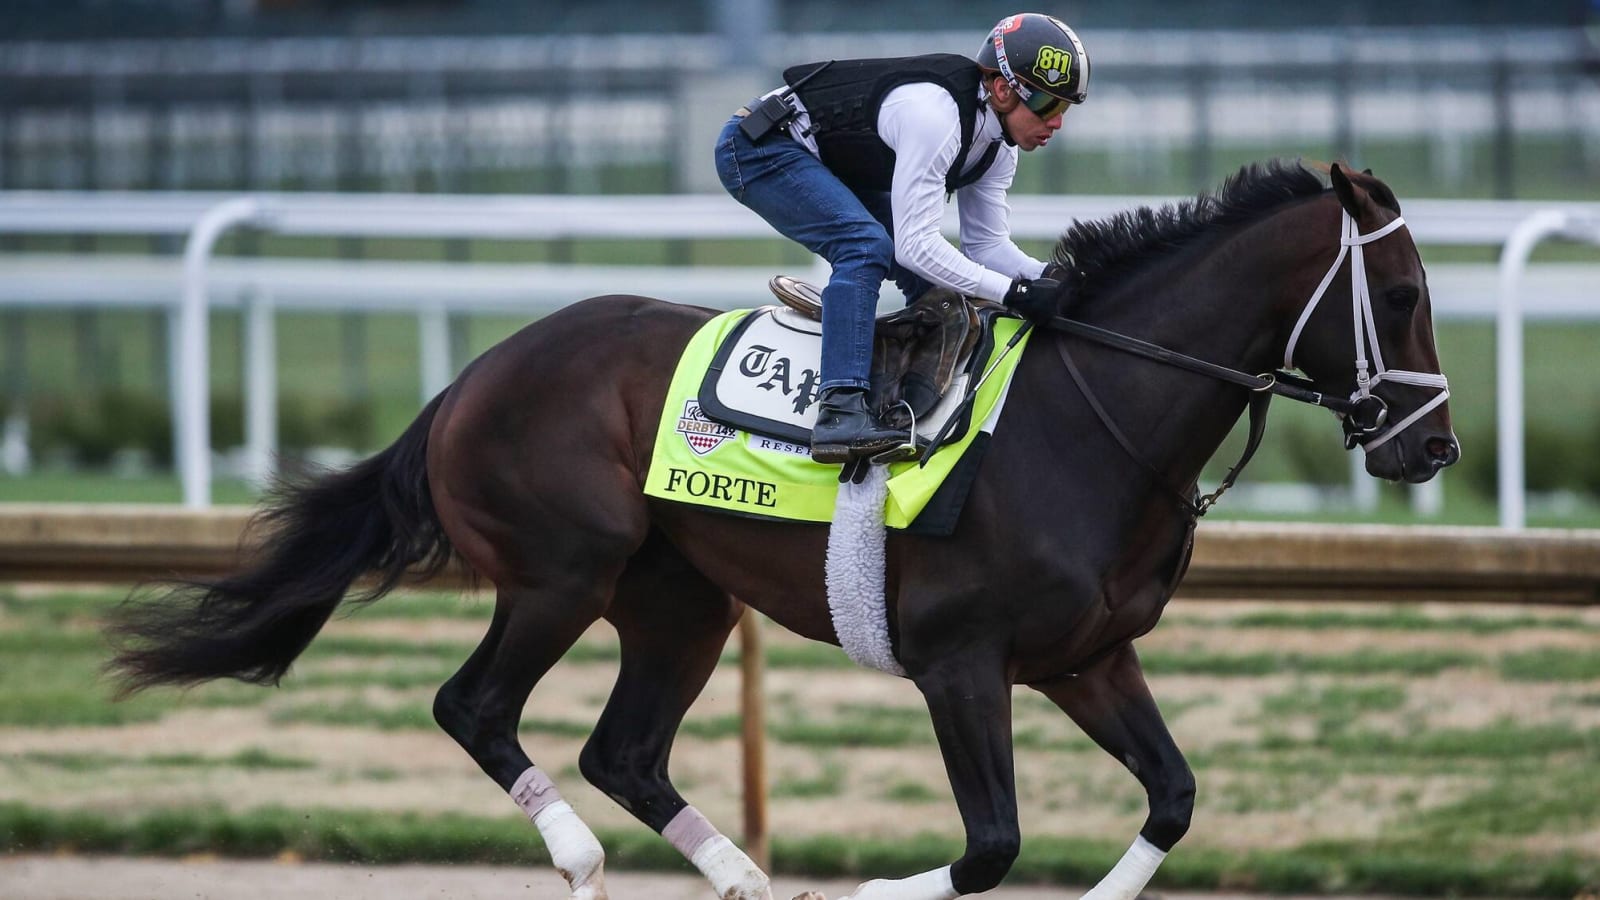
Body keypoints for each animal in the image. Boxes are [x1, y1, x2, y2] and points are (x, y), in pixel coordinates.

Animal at [109, 162, 1465, 896]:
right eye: (1400, 295)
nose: (1432, 450)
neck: (1092, 419)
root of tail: (470, 378)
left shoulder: (1086, 657)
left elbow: (1173, 799)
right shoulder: (960, 662)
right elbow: (990, 843)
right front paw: (868, 887)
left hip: (680, 600)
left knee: (625, 751)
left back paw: (745, 878)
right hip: (562, 572)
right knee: (474, 707)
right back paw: (584, 860)